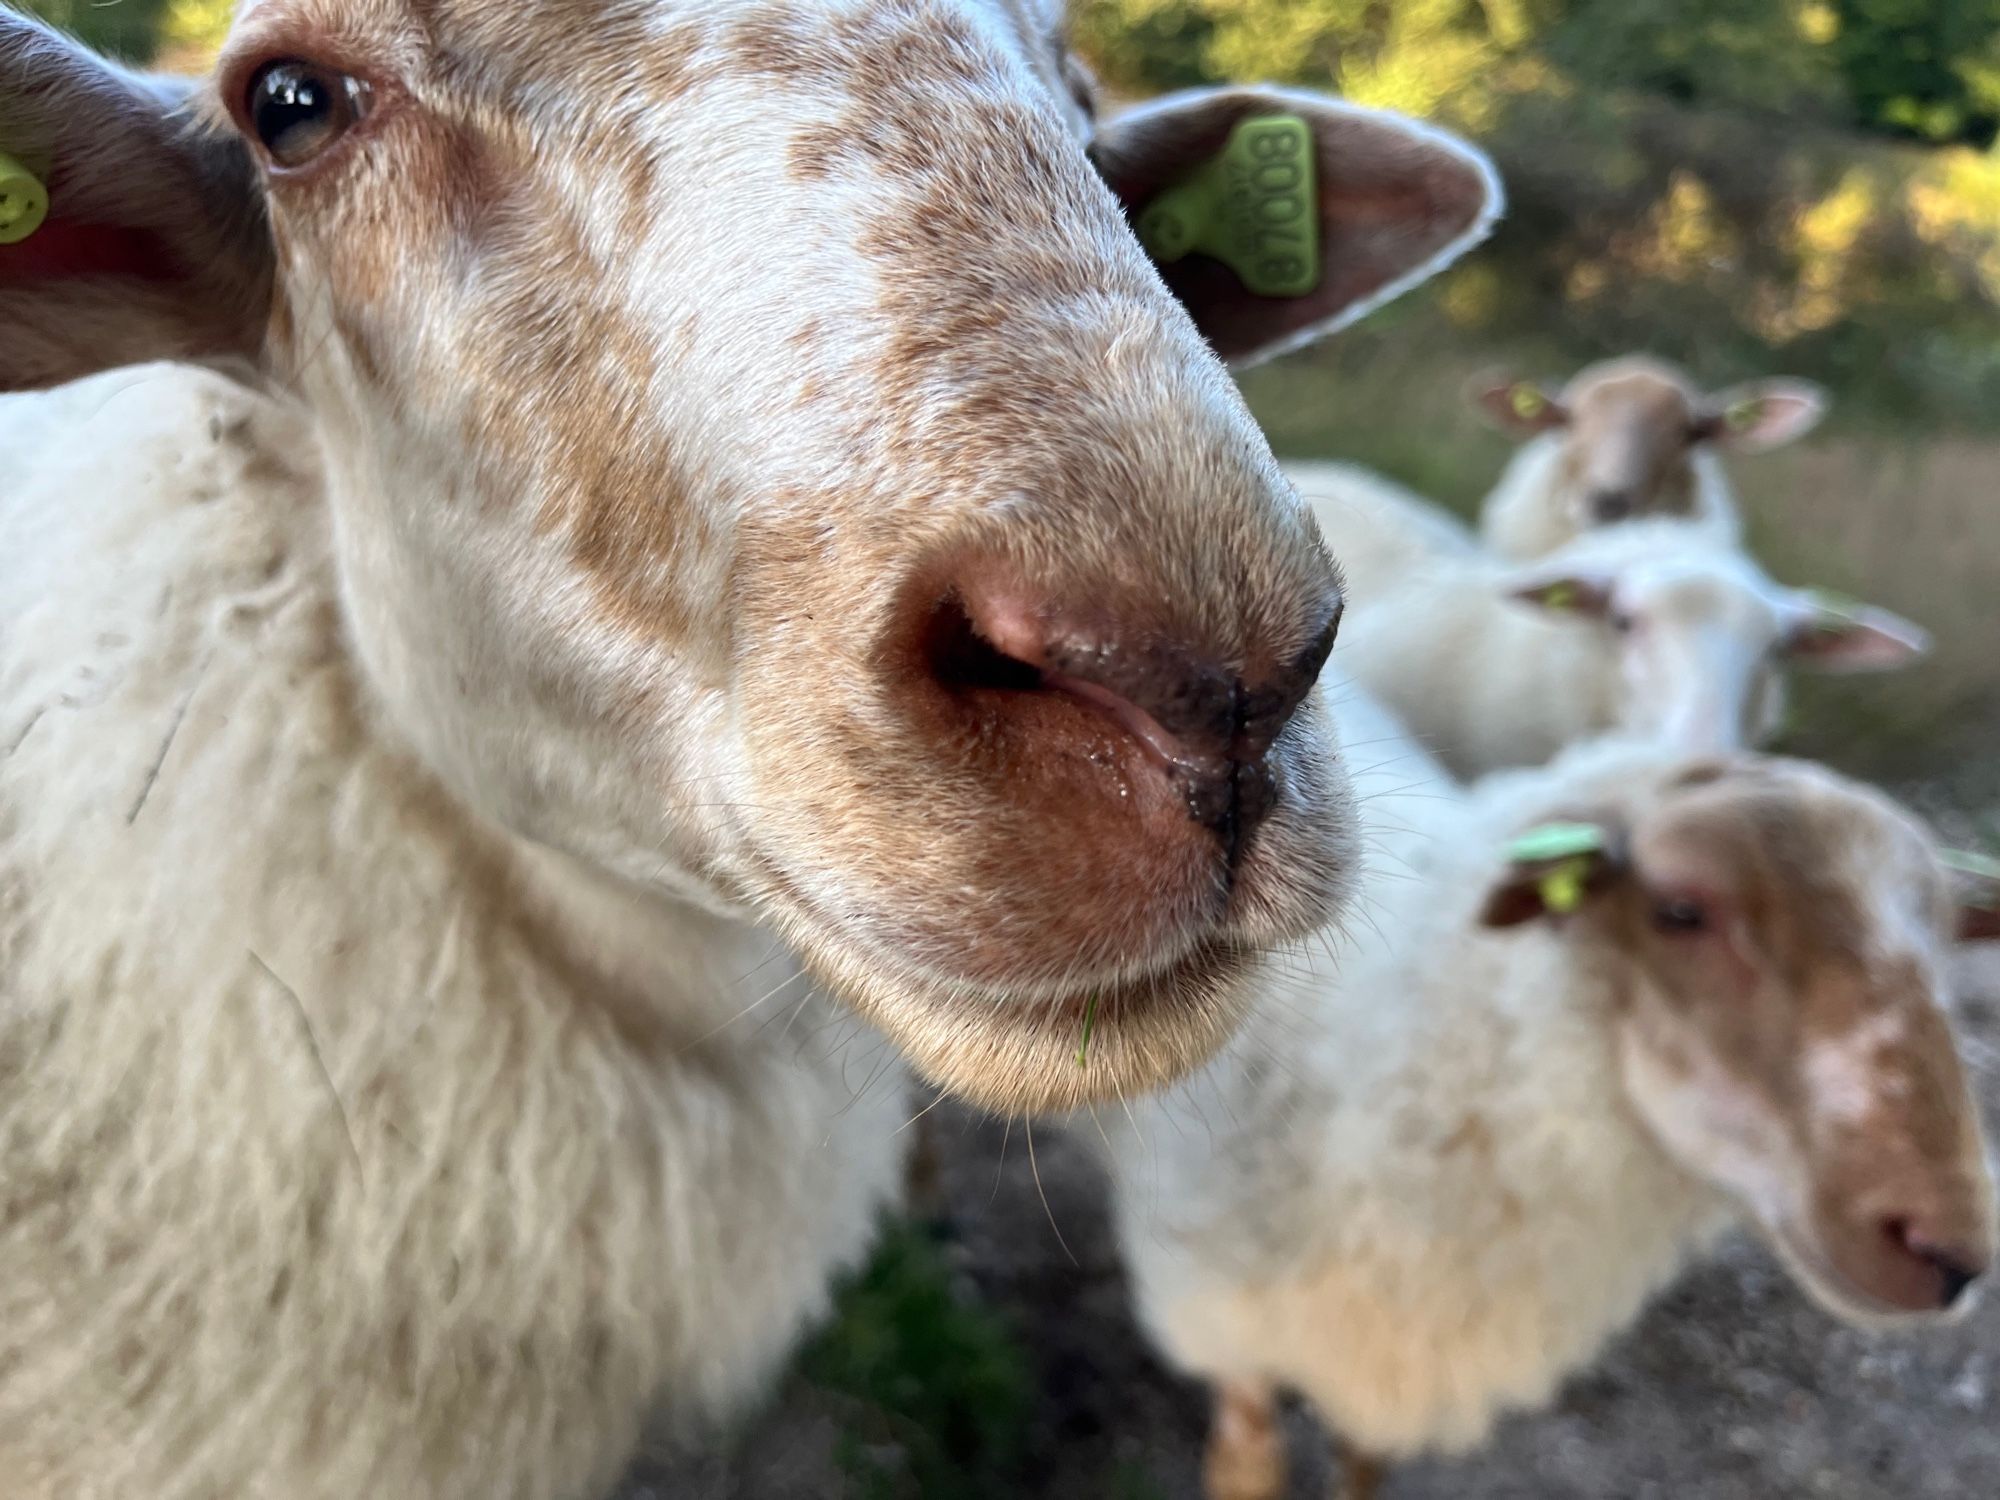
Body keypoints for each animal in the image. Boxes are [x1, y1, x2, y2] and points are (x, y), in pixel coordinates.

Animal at [1096, 712, 2000, 1500]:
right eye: (1681, 911)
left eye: (1945, 940)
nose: (1953, 1251)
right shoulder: (1224, 1336)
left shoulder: (1387, 1363)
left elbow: (1361, 1471)